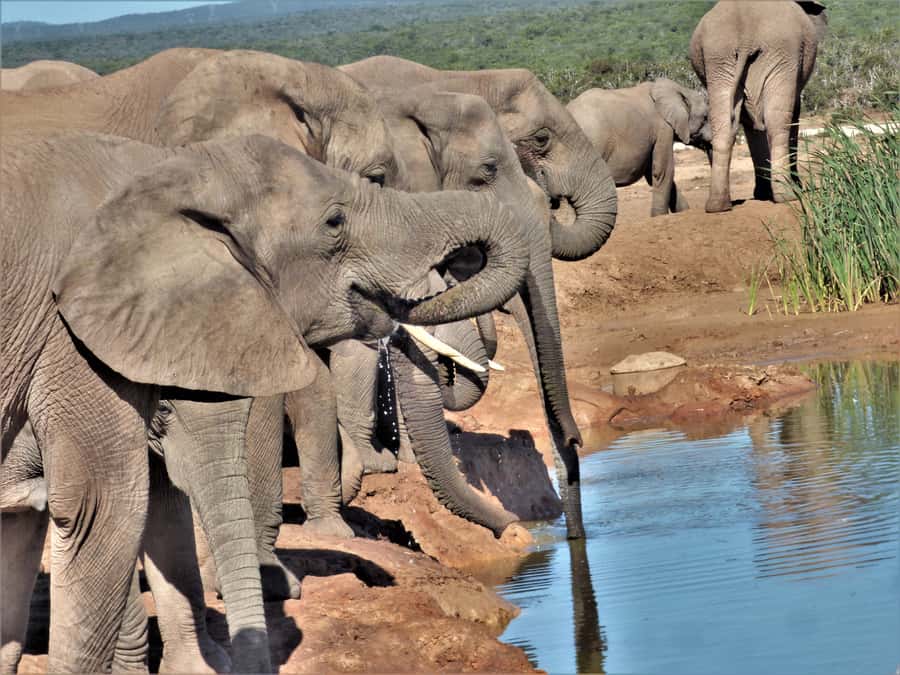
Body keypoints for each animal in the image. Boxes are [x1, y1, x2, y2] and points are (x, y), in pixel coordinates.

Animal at [0, 129, 527, 673]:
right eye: (334, 222)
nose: (513, 531)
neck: (170, 176)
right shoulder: (67, 340)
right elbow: (101, 508)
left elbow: (162, 499)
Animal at [567, 78, 712, 217]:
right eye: (705, 117)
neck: (678, 89)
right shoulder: (663, 128)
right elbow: (663, 170)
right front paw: (659, 216)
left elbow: (651, 173)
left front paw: (684, 211)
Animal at [689, 0, 828, 212]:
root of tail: (745, 38)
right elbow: (793, 114)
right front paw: (792, 189)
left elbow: (749, 124)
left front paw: (762, 195)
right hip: (782, 52)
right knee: (778, 123)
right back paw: (787, 196)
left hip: (718, 59)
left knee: (724, 125)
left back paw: (717, 206)